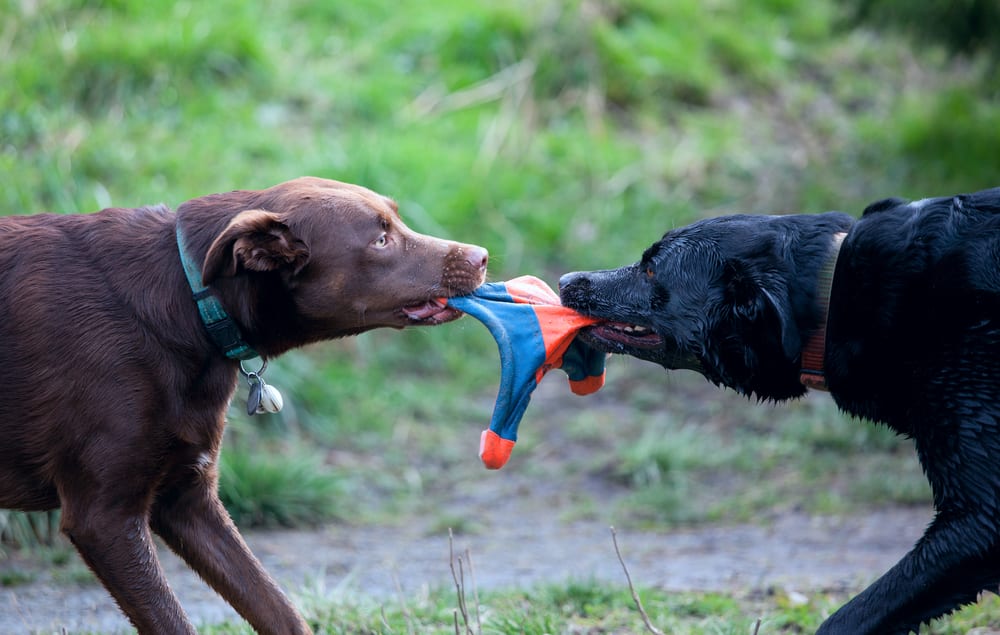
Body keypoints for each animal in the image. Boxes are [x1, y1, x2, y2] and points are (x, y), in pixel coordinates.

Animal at [0, 176, 488, 632]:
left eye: (397, 221)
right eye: (380, 240)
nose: (481, 256)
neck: (192, 300)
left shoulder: (186, 498)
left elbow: (278, 609)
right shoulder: (103, 518)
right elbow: (173, 622)